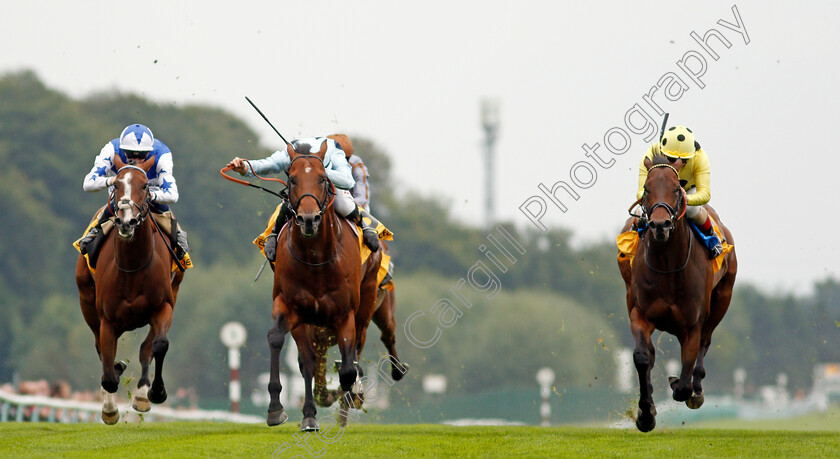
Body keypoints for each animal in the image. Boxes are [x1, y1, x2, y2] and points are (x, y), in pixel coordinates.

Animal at [74, 156, 184, 426]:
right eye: (115, 185)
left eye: (145, 186)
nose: (126, 222)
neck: (133, 266)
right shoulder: (107, 319)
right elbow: (108, 372)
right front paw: (110, 408)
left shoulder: (163, 306)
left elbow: (158, 345)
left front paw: (155, 392)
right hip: (87, 302)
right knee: (101, 350)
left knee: (147, 348)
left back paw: (143, 394)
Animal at [266, 142, 380, 434]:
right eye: (292, 179)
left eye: (322, 179)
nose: (308, 219)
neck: (316, 259)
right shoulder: (289, 306)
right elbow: (278, 339)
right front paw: (277, 409)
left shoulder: (344, 314)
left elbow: (349, 367)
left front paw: (350, 390)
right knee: (308, 361)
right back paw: (310, 414)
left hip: (366, 304)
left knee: (356, 350)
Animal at [616, 154, 736, 432]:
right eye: (647, 189)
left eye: (675, 189)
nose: (660, 225)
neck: (668, 266)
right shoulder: (640, 313)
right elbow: (642, 357)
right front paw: (645, 414)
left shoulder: (692, 324)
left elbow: (684, 379)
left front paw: (682, 387)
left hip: (721, 300)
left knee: (705, 343)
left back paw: (697, 390)